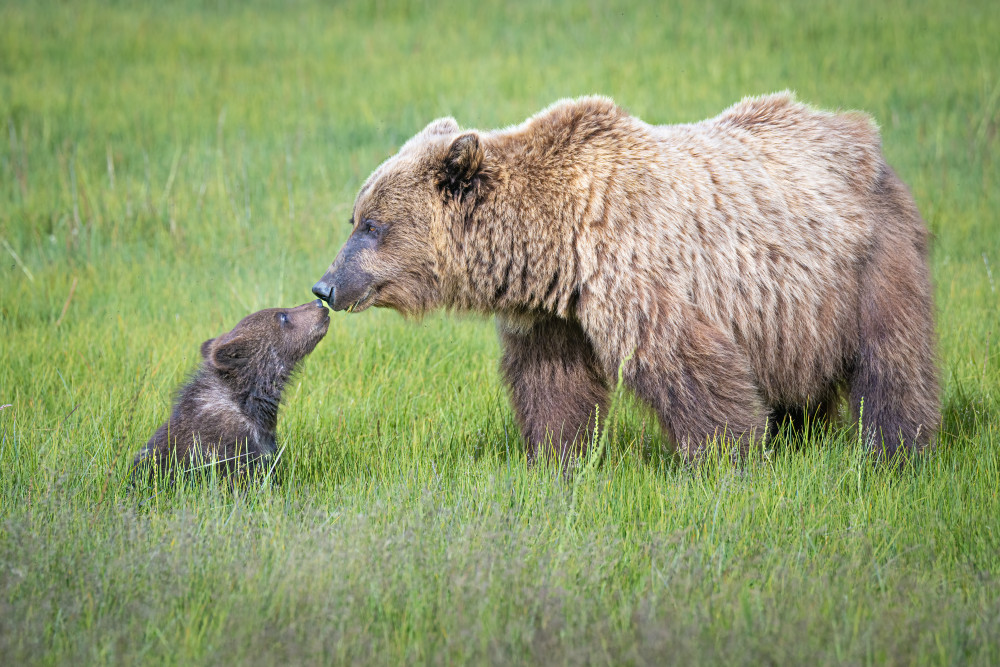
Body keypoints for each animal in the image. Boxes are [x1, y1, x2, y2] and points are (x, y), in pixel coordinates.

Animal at [310, 91, 936, 462]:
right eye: (355, 218)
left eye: (372, 225)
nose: (325, 286)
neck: (553, 244)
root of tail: (862, 134)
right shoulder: (552, 314)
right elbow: (552, 383)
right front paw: (555, 458)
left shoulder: (636, 271)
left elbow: (688, 365)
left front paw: (725, 457)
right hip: (792, 313)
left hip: (866, 263)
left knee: (892, 359)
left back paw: (896, 450)